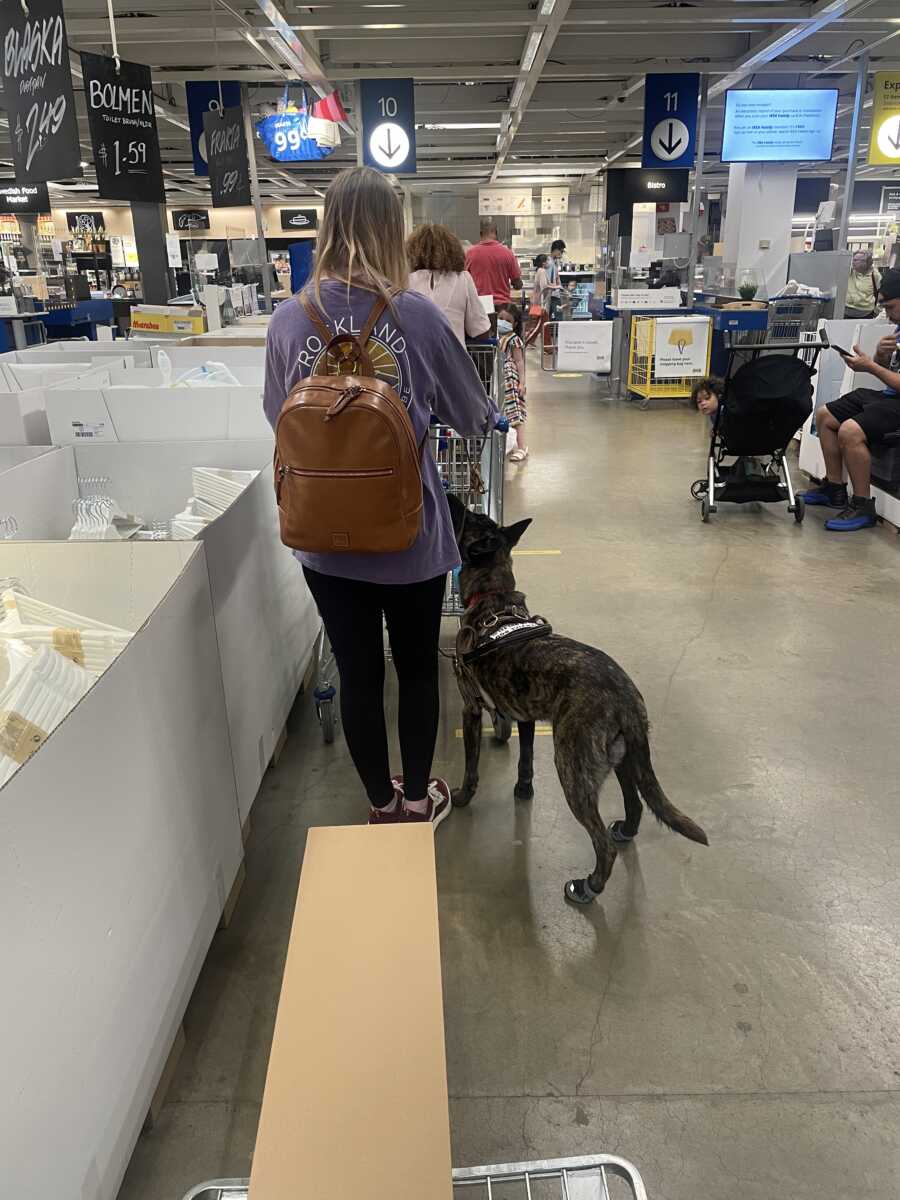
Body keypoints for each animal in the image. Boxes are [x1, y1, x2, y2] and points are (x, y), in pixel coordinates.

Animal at [448, 494, 710, 902]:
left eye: (467, 518)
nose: (450, 497)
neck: (493, 599)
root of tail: (626, 699)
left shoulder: (470, 708)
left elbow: (471, 766)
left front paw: (462, 796)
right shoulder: (525, 716)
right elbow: (524, 758)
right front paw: (523, 788)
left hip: (572, 770)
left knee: (603, 843)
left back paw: (588, 885)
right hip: (623, 760)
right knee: (635, 803)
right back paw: (625, 831)